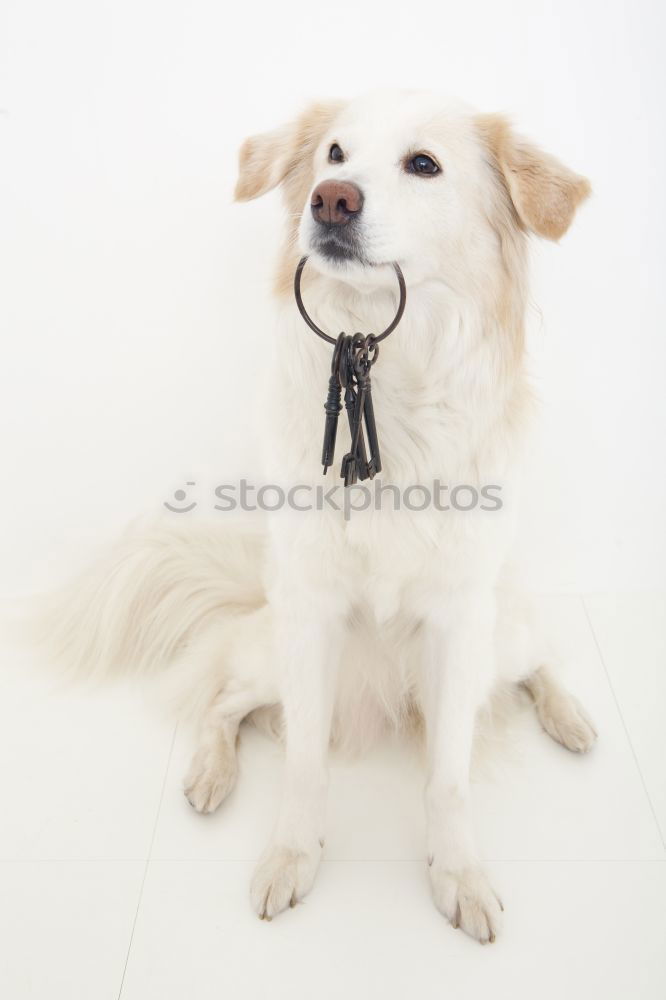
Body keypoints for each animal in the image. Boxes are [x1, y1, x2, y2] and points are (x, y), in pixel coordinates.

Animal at [48, 90, 596, 940]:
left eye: (424, 164)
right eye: (333, 155)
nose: (330, 200)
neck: (387, 385)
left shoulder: (460, 622)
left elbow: (449, 775)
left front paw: (459, 874)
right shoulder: (309, 618)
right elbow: (303, 762)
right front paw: (290, 856)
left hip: (498, 635)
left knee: (537, 663)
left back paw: (570, 718)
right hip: (272, 649)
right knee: (225, 701)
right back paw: (211, 773)